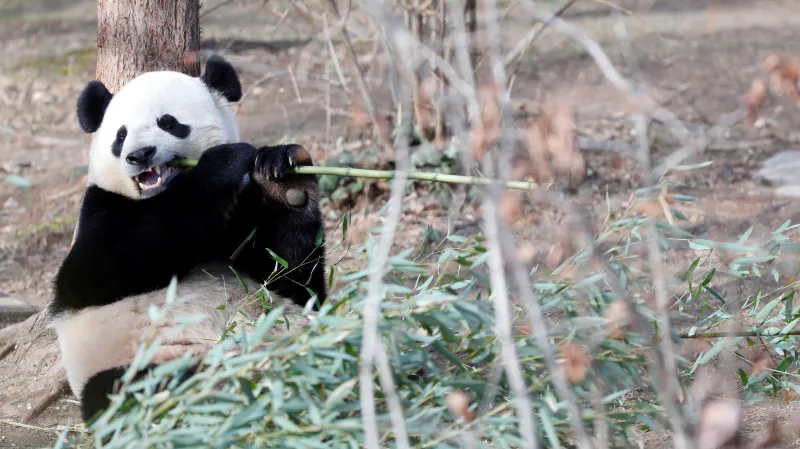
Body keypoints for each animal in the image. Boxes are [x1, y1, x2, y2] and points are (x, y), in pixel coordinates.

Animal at [48, 55, 327, 424]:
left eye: (169, 123)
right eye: (121, 135)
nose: (140, 154)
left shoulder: (243, 220)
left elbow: (292, 279)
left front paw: (283, 177)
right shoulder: (101, 212)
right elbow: (108, 266)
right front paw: (224, 162)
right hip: (136, 360)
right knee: (136, 389)